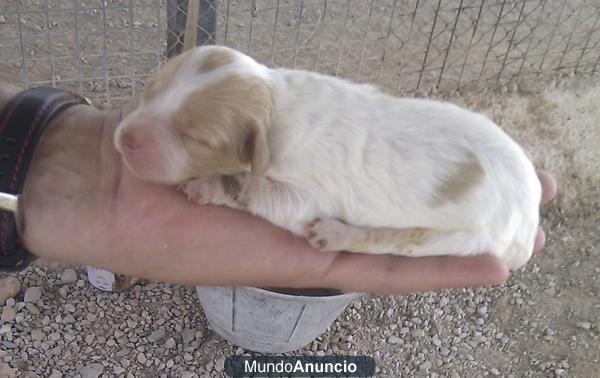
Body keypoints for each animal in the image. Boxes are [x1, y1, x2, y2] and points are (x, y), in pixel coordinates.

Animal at [115, 45, 540, 270]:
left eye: (194, 137)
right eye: (149, 90)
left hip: (466, 236)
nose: (125, 138)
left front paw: (205, 185)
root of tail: (532, 206)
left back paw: (335, 234)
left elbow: (248, 186)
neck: (278, 107)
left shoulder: (302, 198)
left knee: (396, 241)